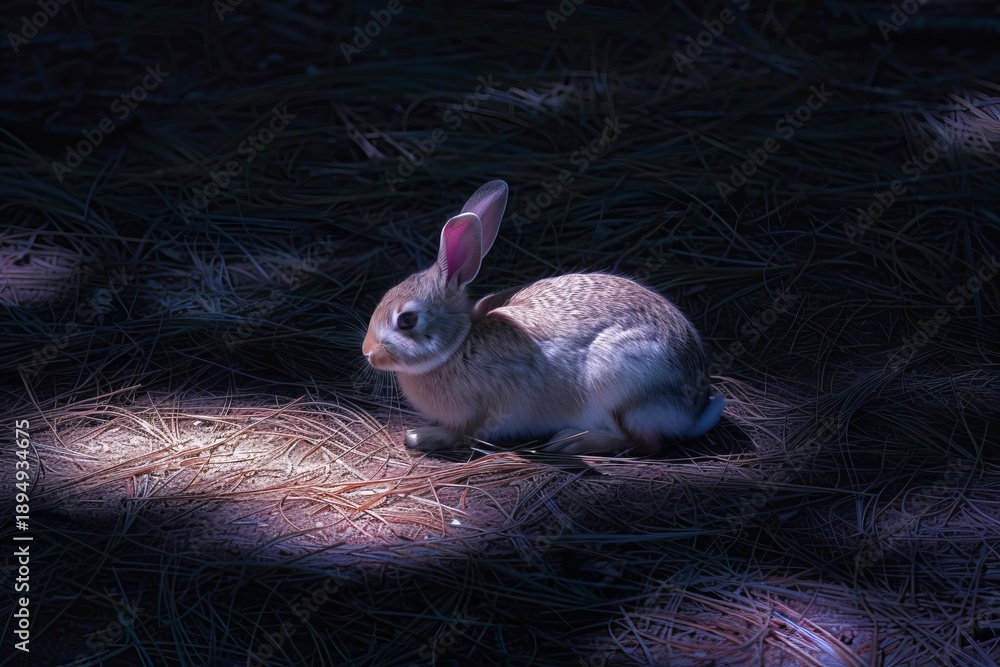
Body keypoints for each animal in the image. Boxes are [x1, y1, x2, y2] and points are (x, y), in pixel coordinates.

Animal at [362, 180, 725, 456]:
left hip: (620, 384)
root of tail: (691, 410)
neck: (460, 343)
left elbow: (466, 434)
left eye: (407, 320)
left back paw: (572, 442)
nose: (367, 352)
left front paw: (423, 437)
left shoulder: (487, 409)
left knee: (644, 443)